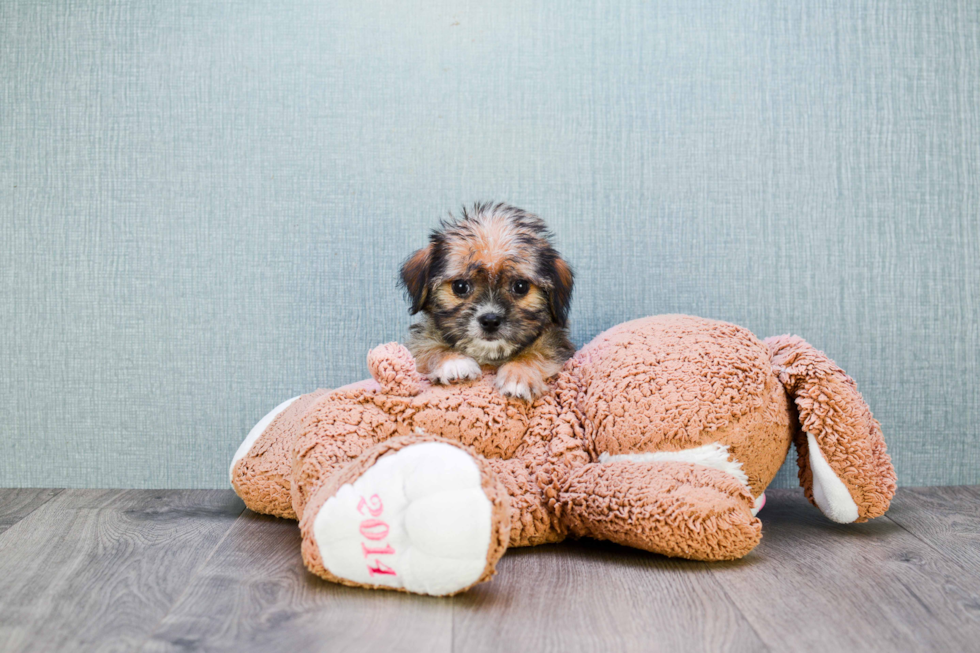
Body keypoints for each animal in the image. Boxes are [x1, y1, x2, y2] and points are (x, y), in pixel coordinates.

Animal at [398, 201, 576, 400]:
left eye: (520, 286)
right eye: (460, 286)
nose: (490, 320)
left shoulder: (557, 344)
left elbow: (537, 353)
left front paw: (519, 374)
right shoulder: (418, 344)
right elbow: (429, 347)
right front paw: (454, 362)